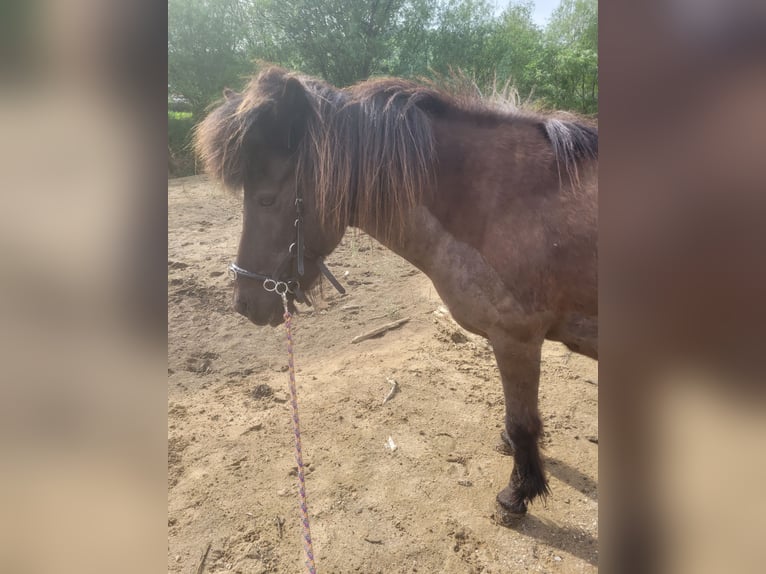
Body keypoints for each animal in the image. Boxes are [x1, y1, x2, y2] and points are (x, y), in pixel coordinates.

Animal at [194, 66, 600, 520]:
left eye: (266, 200)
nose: (244, 302)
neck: (500, 203)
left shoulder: (517, 339)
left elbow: (522, 421)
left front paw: (518, 492)